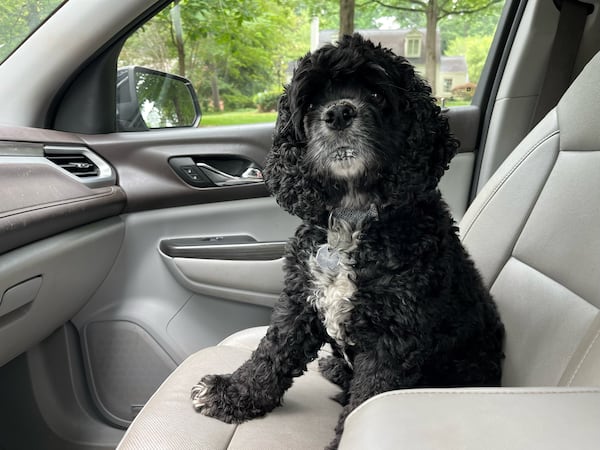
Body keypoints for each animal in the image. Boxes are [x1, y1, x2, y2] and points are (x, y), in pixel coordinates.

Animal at [190, 33, 504, 448]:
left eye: (376, 93)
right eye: (310, 102)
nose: (338, 113)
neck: (353, 220)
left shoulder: (393, 337)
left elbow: (366, 401)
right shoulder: (301, 300)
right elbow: (271, 353)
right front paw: (231, 393)